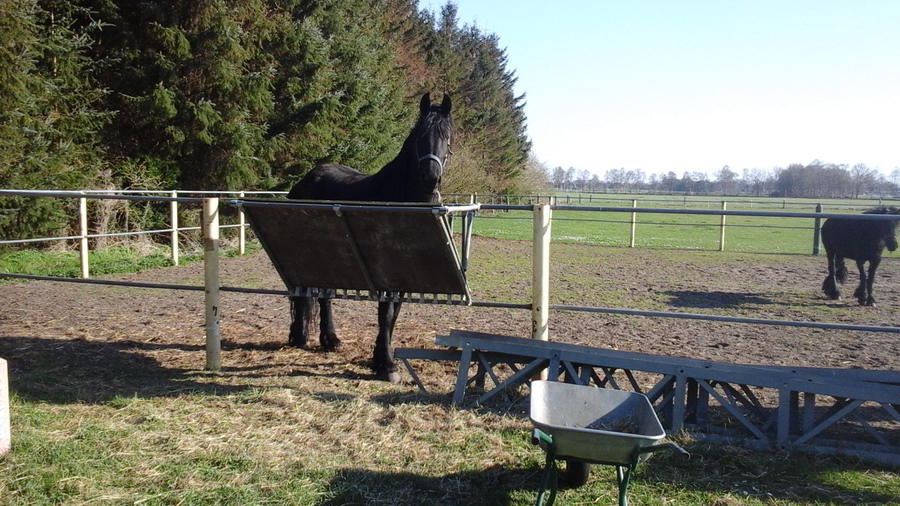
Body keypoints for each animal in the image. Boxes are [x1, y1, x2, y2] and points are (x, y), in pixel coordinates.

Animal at [285, 92, 452, 381]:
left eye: (448, 136)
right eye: (419, 136)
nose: (430, 179)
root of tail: (306, 180)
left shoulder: (406, 273)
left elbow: (395, 312)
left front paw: (378, 358)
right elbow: (385, 312)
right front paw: (386, 365)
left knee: (324, 295)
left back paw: (329, 339)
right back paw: (303, 336)